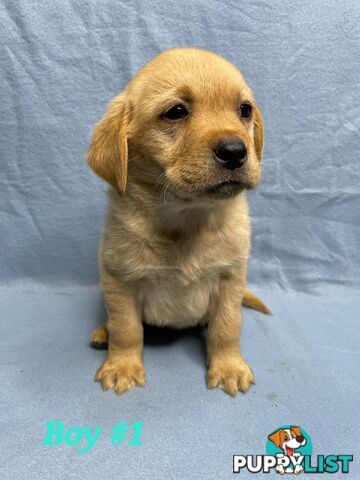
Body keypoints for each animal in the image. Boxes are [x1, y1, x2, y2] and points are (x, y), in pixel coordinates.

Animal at [87, 47, 268, 398]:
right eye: (176, 112)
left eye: (244, 110)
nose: (235, 151)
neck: (186, 218)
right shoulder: (118, 279)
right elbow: (126, 328)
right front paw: (122, 366)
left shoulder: (231, 280)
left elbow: (227, 327)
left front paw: (229, 367)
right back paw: (103, 333)